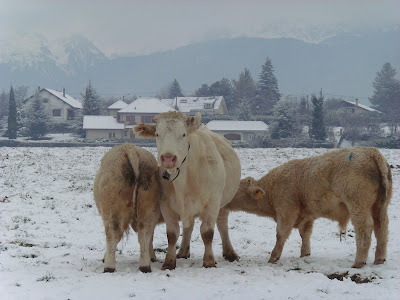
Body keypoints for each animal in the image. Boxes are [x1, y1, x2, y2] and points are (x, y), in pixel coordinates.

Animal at [94, 144, 162, 274]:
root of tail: (130, 148)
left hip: (111, 213)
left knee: (112, 235)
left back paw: (109, 266)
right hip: (147, 210)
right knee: (144, 235)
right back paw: (145, 265)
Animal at [134, 111, 241, 268]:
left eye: (183, 134)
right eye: (157, 134)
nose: (168, 158)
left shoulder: (213, 203)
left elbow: (207, 233)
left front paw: (209, 261)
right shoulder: (165, 205)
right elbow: (172, 234)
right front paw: (169, 262)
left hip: (223, 203)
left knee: (222, 225)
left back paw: (230, 253)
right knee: (188, 227)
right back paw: (183, 251)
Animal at [227, 147, 392, 268]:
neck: (272, 188)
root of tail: (372, 152)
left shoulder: (286, 211)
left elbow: (281, 234)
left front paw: (273, 257)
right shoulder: (306, 216)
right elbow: (304, 234)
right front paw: (304, 254)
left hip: (359, 206)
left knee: (365, 228)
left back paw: (359, 262)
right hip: (380, 208)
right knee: (382, 228)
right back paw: (379, 259)